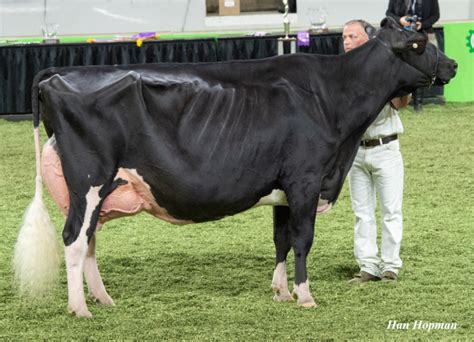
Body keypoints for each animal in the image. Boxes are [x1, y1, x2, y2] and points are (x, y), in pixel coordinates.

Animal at [14, 18, 456, 318]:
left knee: (89, 239)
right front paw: (305, 296)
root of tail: (59, 74)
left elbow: (281, 240)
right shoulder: (306, 179)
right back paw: (80, 308)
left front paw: (281, 291)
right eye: (418, 44)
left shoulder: (283, 187)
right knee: (74, 239)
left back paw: (104, 299)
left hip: (99, 189)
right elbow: (303, 240)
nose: (452, 65)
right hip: (88, 180)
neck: (333, 96)